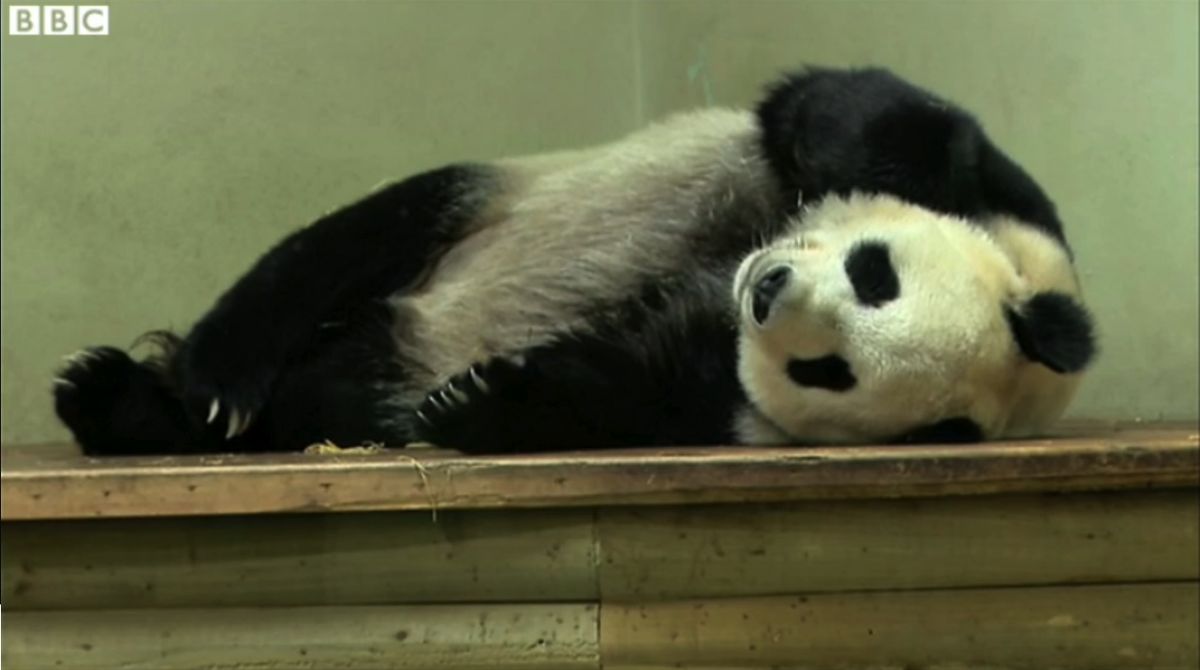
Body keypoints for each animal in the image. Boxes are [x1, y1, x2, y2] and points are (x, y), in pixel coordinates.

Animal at [51, 66, 1094, 456]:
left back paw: (134, 407)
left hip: (379, 347)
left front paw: (482, 400)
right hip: (480, 209)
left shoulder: (712, 382)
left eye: (827, 369)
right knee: (344, 244)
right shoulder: (1008, 204)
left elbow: (626, 385)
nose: (767, 290)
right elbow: (859, 119)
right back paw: (202, 378)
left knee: (328, 393)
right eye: (876, 274)